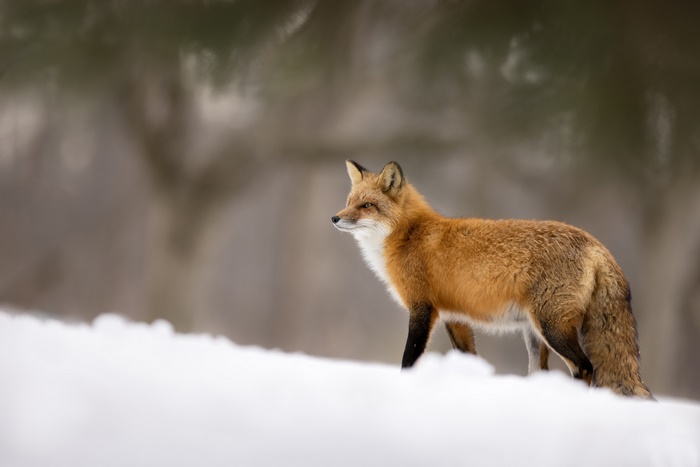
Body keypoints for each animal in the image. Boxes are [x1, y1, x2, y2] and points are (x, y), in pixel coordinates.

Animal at [332, 160, 653, 399]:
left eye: (367, 205)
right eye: (349, 202)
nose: (335, 218)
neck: (409, 235)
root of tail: (596, 244)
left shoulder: (421, 308)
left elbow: (408, 360)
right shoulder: (454, 317)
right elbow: (470, 358)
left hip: (551, 327)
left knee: (585, 368)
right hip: (534, 334)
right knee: (544, 372)